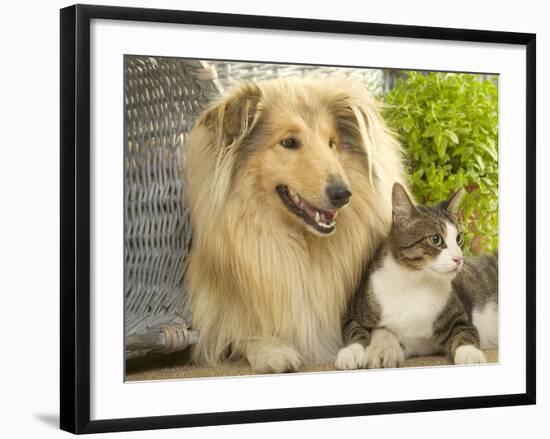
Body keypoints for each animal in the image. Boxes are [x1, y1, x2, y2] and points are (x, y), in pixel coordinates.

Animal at [185, 77, 410, 372]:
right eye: (289, 142)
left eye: (332, 143)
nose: (343, 194)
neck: (303, 248)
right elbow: (242, 331)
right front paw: (272, 351)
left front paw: (385, 346)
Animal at [336, 183, 500, 372]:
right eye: (436, 239)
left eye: (459, 238)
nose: (459, 259)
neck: (414, 281)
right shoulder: (356, 308)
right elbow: (355, 328)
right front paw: (352, 351)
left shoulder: (457, 317)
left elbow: (465, 331)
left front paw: (470, 353)